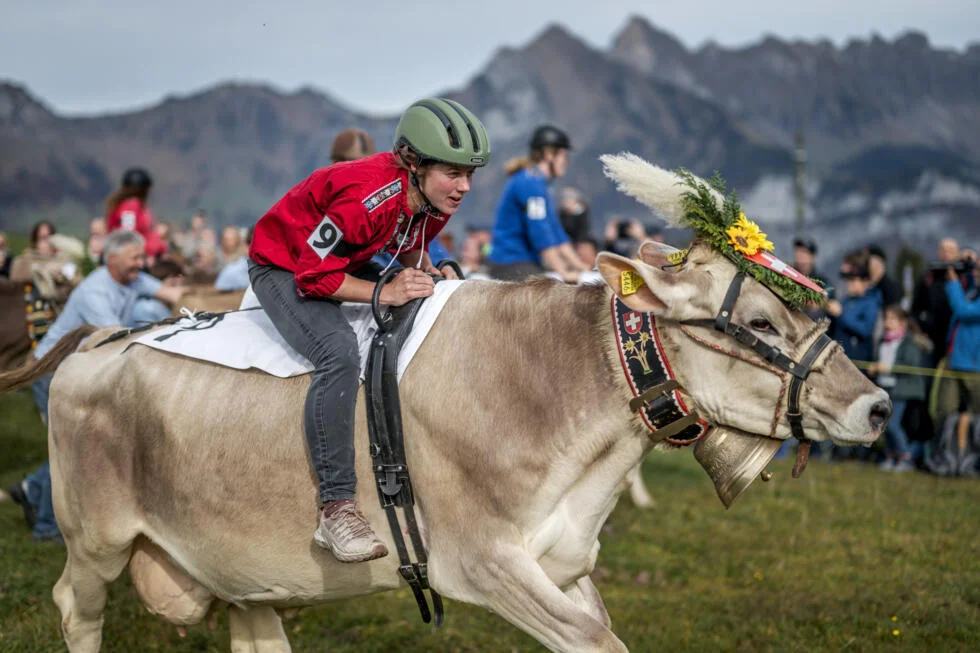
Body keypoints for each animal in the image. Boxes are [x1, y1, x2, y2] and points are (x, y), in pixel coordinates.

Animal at [0, 158, 890, 653]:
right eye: (762, 321)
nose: (879, 406)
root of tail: (101, 336)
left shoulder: (564, 561)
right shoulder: (486, 558)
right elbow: (598, 642)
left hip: (237, 558)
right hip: (97, 537)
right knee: (74, 607)